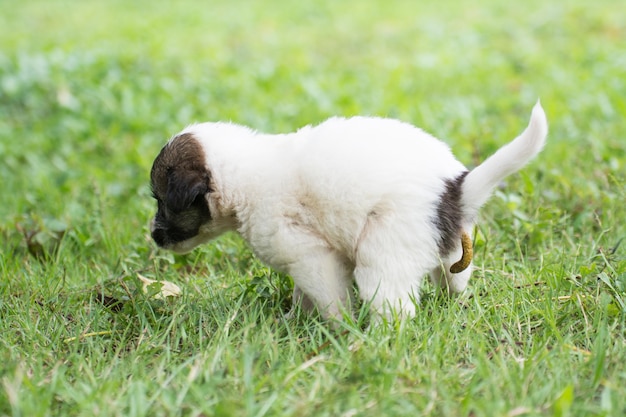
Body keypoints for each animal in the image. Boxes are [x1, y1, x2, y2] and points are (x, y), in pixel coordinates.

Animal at [149, 101, 544, 322]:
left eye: (161, 200)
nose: (152, 235)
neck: (242, 178)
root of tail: (454, 190)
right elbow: (303, 296)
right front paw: (293, 320)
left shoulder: (311, 256)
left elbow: (329, 299)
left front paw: (339, 329)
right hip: (451, 252)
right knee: (454, 280)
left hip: (384, 253)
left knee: (394, 306)